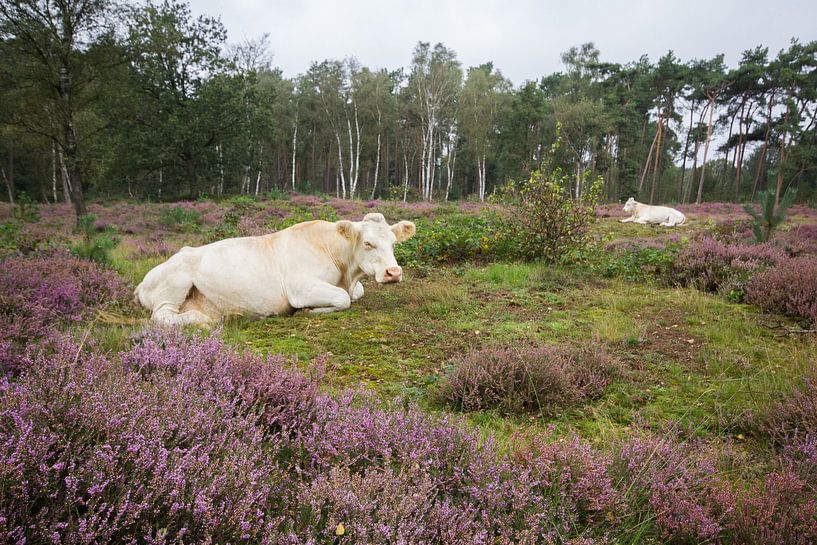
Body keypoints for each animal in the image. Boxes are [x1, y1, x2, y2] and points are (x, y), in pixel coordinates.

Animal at [135, 211, 414, 324]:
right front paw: (308, 311)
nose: (394, 273)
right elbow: (343, 298)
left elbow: (355, 294)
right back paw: (202, 320)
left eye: (393, 243)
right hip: (176, 282)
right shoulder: (299, 288)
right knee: (161, 316)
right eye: (368, 243)